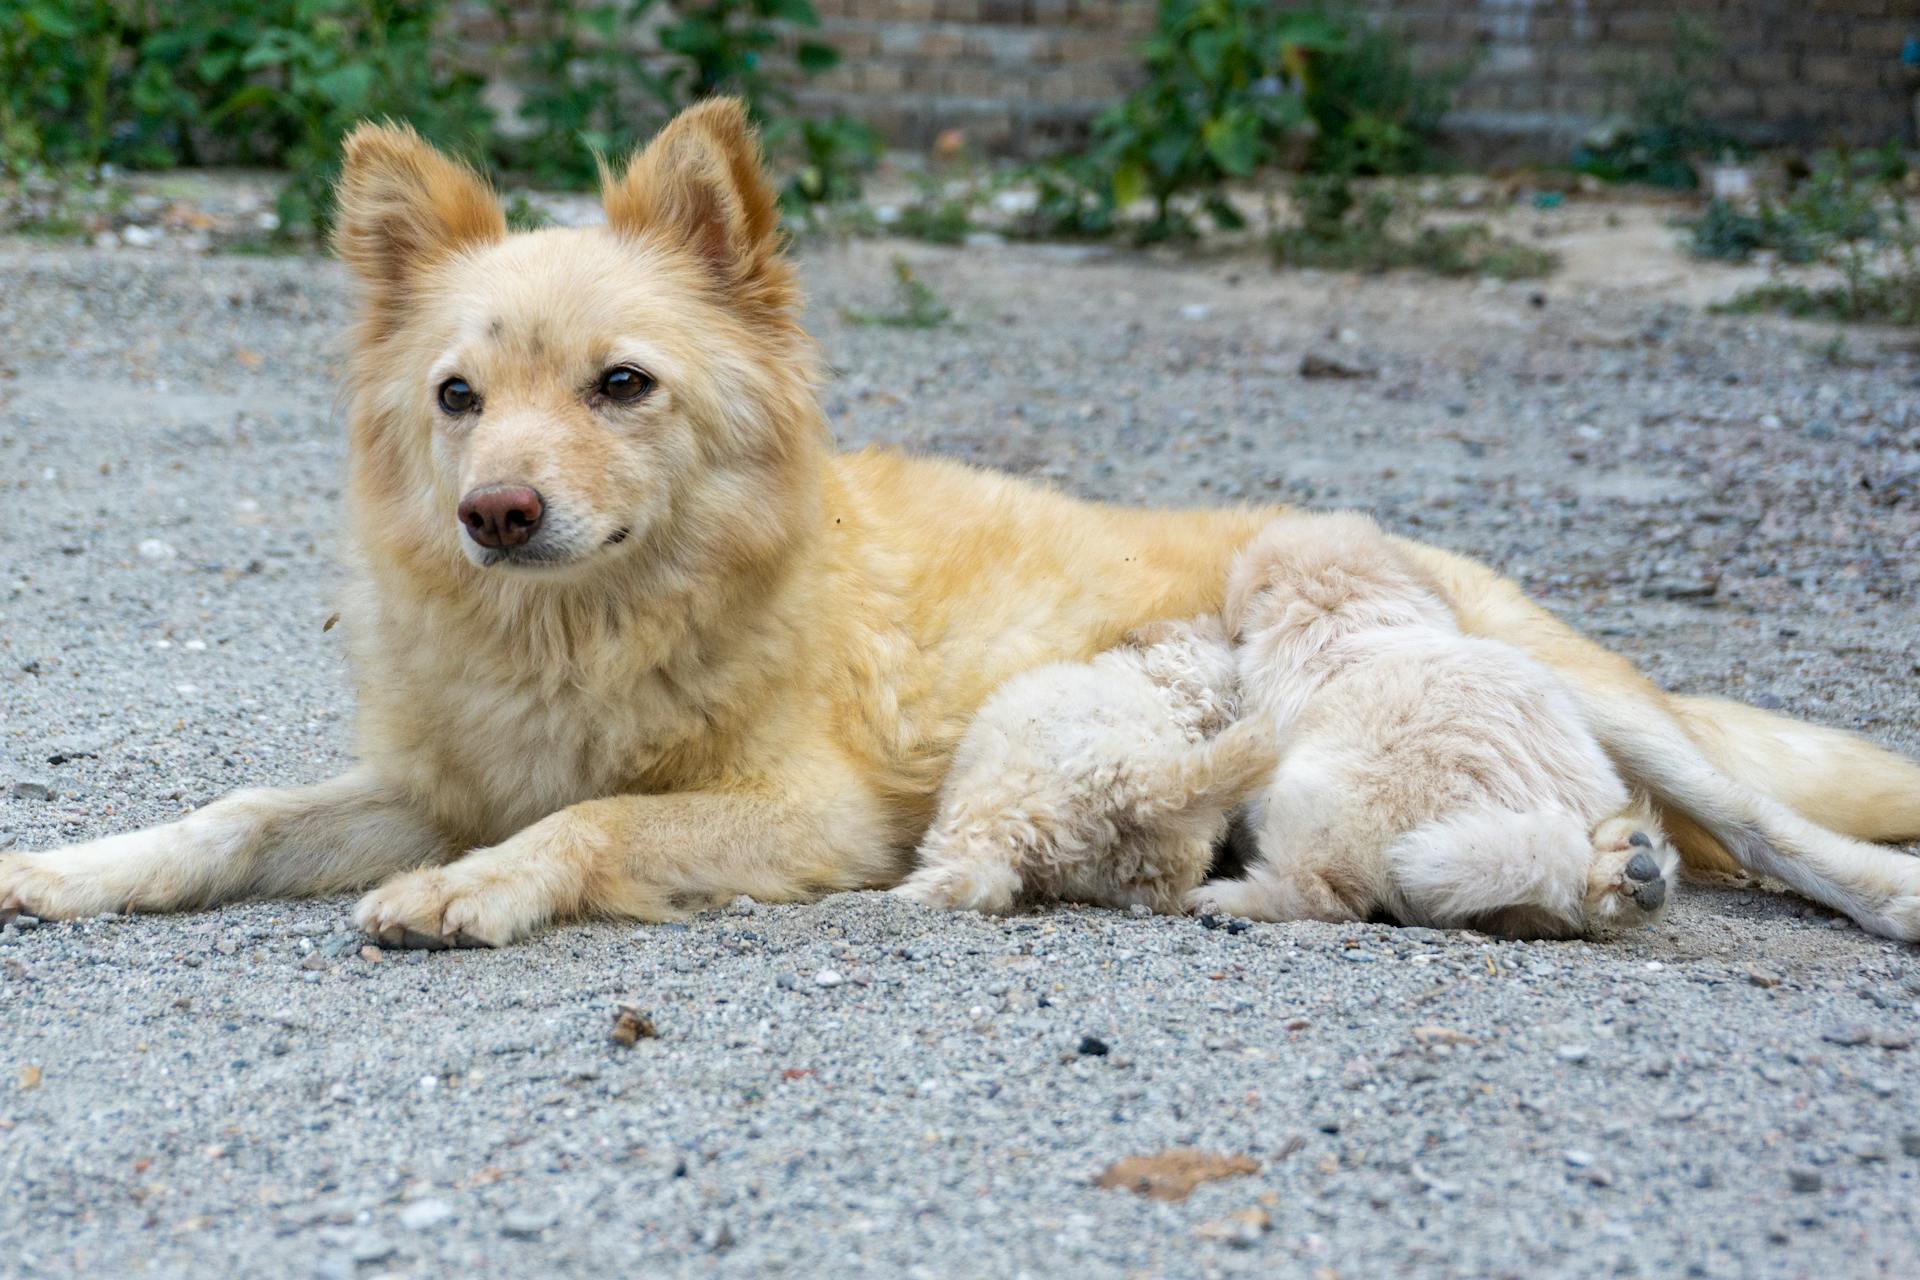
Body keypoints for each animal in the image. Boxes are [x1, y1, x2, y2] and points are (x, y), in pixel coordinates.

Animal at [890, 614, 1282, 917]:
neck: (1175, 701)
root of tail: (1135, 786)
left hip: (993, 805)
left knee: (971, 875)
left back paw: (907, 894)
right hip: (1145, 870)